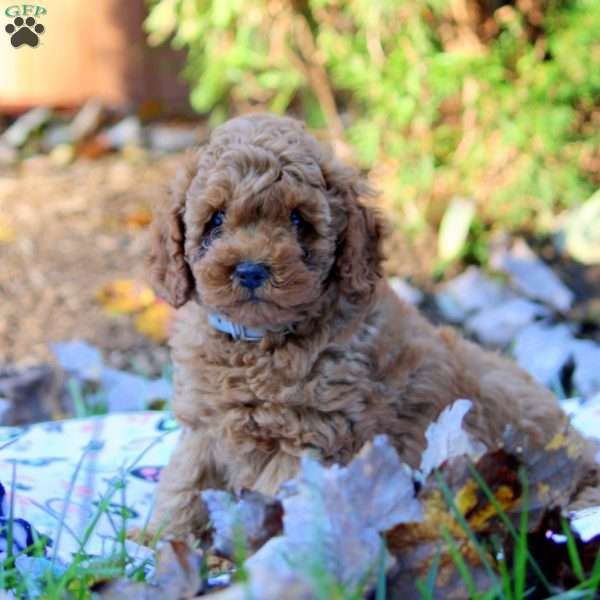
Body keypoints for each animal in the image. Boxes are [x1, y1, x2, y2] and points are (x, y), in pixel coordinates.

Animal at [148, 112, 596, 540]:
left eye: (298, 220)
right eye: (216, 219)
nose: (251, 271)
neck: (260, 343)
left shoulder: (310, 439)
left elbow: (274, 498)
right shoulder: (206, 427)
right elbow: (184, 483)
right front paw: (160, 540)